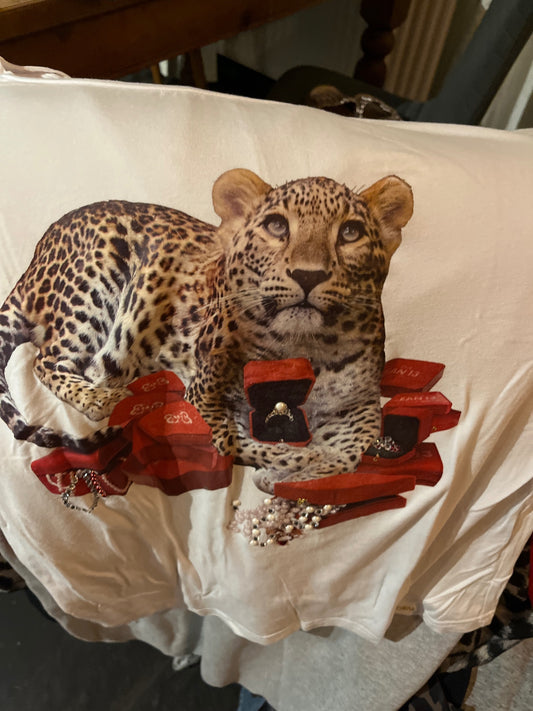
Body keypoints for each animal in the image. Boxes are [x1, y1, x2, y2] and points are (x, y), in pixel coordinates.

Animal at [0, 169, 413, 493]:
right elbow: (237, 442)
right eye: (277, 226)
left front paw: (304, 469)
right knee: (49, 361)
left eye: (351, 232)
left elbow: (353, 450)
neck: (304, 348)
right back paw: (108, 399)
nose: (308, 275)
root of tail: (39, 252)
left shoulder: (359, 405)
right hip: (93, 289)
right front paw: (291, 463)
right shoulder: (203, 399)